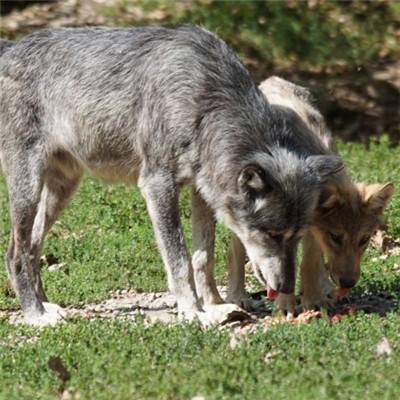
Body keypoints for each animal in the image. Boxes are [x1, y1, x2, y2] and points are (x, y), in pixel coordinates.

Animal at [0, 29, 344, 326]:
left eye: (297, 237)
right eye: (272, 234)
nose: (286, 287)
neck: (206, 104)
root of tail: (11, 48)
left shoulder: (202, 193)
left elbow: (203, 258)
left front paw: (216, 306)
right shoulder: (158, 186)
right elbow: (180, 261)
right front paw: (195, 313)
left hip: (62, 190)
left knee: (32, 246)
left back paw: (47, 304)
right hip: (28, 189)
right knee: (15, 253)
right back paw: (36, 315)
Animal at [227, 76, 392, 316]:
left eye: (364, 239)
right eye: (336, 237)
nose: (348, 283)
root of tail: (271, 80)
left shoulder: (312, 227)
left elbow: (310, 262)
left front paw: (314, 300)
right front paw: (286, 305)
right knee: (235, 250)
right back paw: (237, 297)